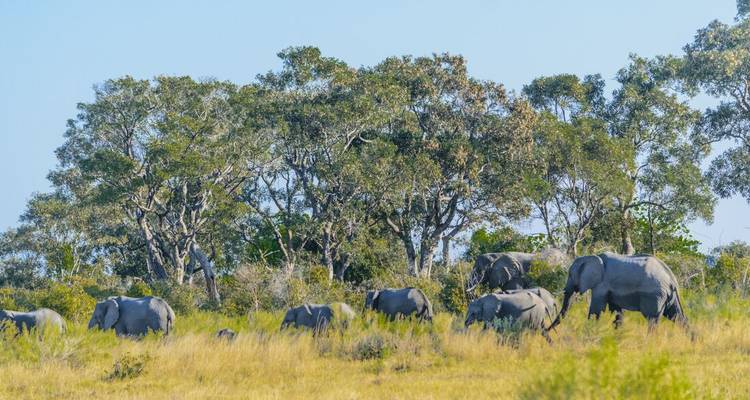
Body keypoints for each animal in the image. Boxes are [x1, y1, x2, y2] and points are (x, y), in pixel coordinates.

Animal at [548, 252, 688, 331]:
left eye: (570, 275)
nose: (547, 330)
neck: (592, 257)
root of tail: (672, 279)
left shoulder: (601, 284)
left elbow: (596, 310)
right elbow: (616, 312)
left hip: (654, 295)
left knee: (652, 320)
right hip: (668, 296)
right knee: (679, 317)